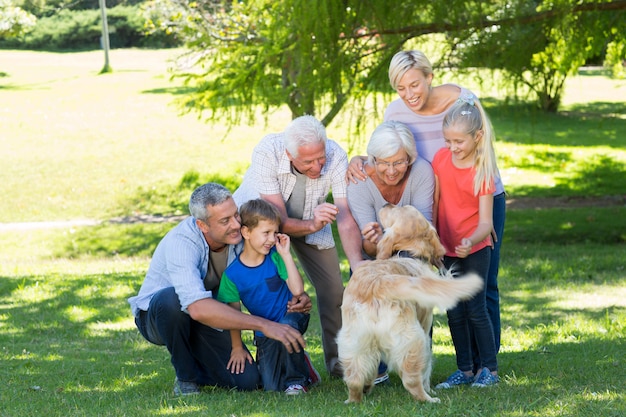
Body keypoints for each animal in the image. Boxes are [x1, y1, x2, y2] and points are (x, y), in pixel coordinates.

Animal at [336, 203, 482, 402]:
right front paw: (430, 389)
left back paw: (355, 398)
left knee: (354, 379)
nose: (387, 203)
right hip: (412, 338)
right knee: (412, 380)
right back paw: (429, 399)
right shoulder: (426, 326)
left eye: (398, 208)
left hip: (353, 342)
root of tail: (377, 283)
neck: (410, 254)